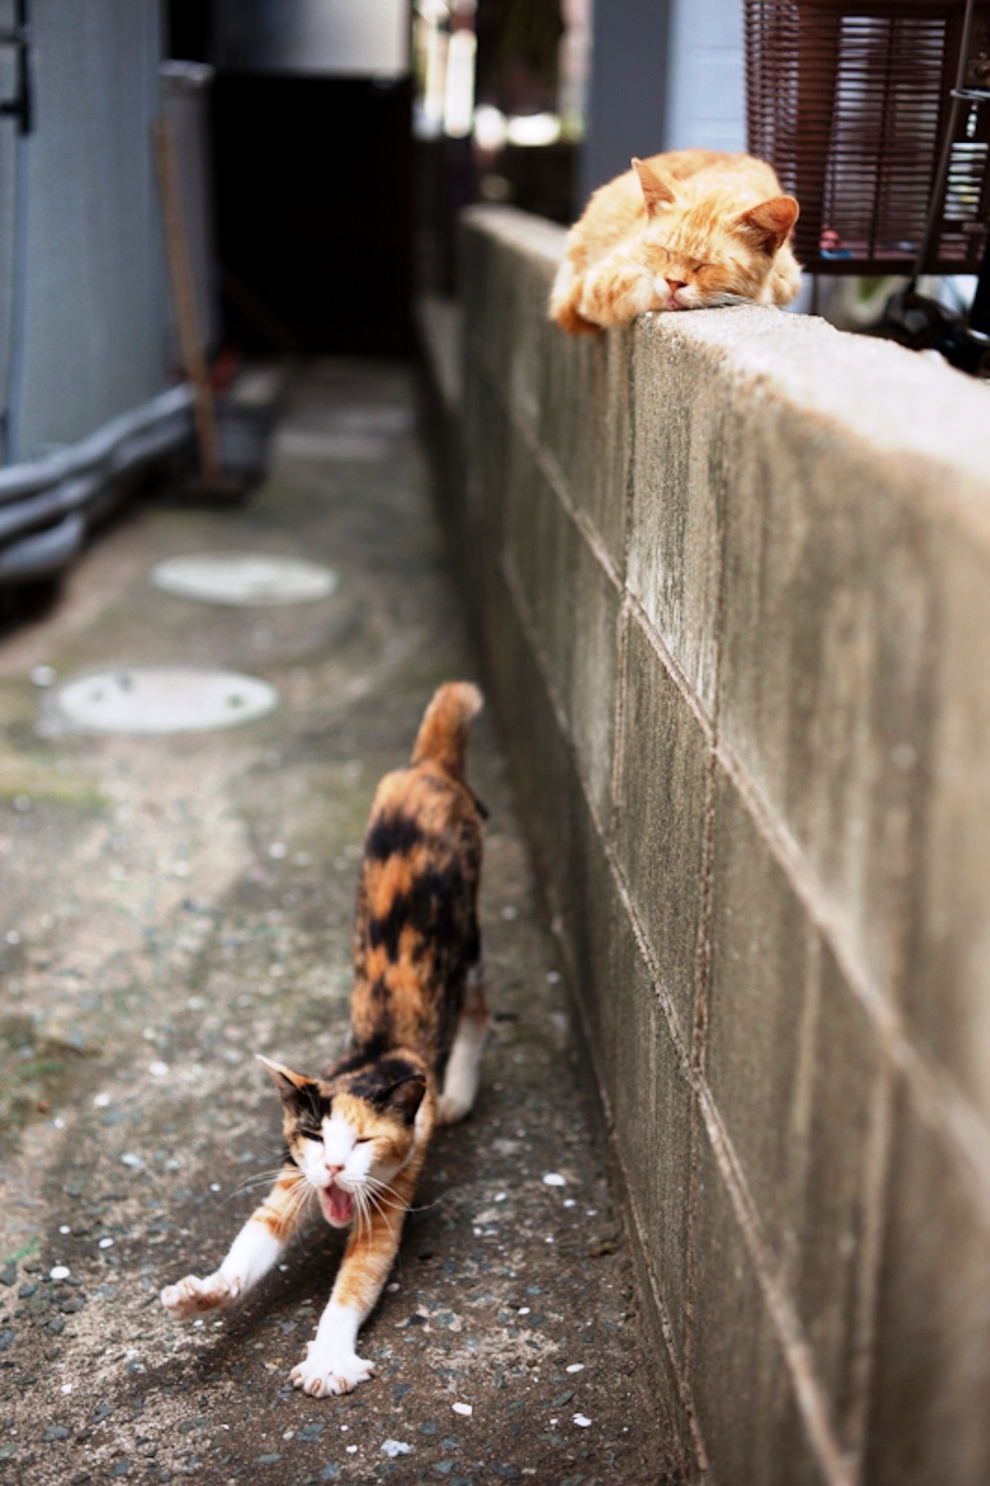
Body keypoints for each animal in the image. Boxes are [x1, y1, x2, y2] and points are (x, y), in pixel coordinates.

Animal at [159, 680, 487, 1396]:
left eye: (361, 1141)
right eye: (314, 1136)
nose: (335, 1168)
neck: (368, 1062)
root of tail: (427, 767)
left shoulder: (394, 1180)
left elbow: (357, 1280)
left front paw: (328, 1359)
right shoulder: (292, 1173)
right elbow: (254, 1242)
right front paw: (205, 1293)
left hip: (471, 932)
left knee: (478, 1004)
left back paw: (459, 1093)